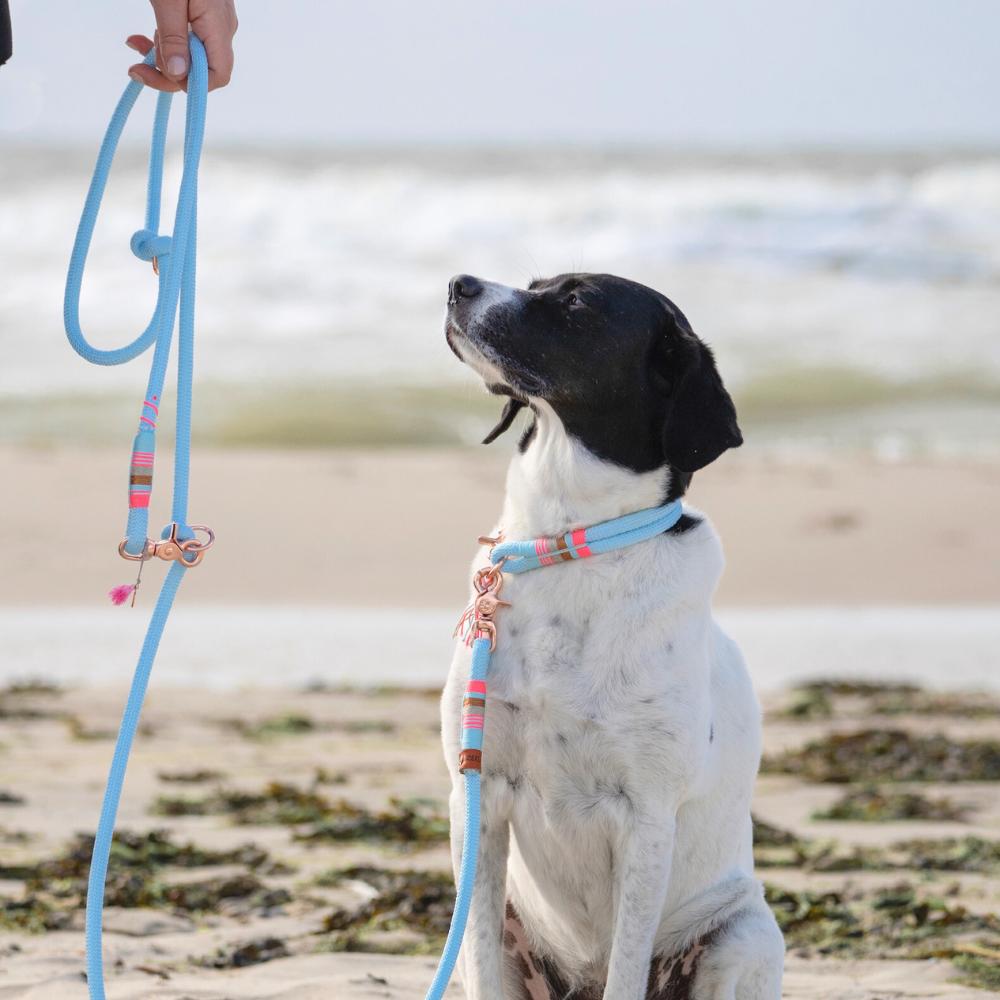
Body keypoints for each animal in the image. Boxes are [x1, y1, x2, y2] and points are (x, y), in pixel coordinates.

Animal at [444, 274, 780, 1000]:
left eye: (577, 302)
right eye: (535, 283)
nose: (459, 283)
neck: (569, 541)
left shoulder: (646, 818)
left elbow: (624, 971)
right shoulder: (476, 796)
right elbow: (477, 957)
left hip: (743, 934)